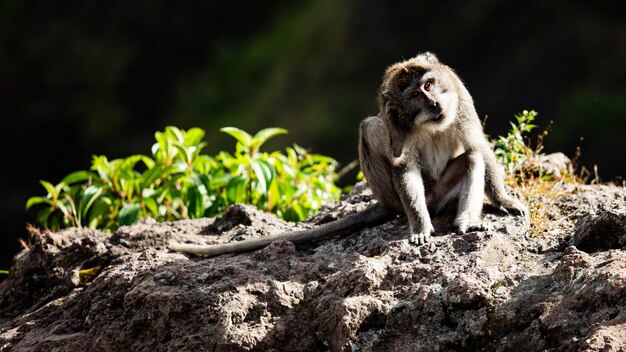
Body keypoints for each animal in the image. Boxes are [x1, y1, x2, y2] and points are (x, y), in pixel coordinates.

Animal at [168, 51, 524, 256]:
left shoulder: (459, 98)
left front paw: (503, 199)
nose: (435, 102)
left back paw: (466, 223)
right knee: (370, 127)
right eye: (415, 95)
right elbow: (403, 163)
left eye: (430, 84)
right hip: (398, 195)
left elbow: (478, 148)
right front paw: (421, 227)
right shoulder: (398, 125)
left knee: (471, 160)